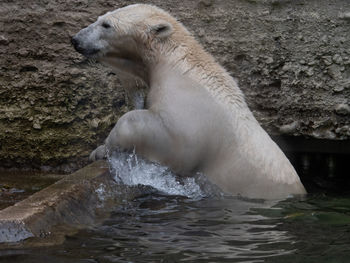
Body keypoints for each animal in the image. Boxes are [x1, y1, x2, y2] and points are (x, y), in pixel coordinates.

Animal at [72, 3, 306, 200]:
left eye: (106, 24)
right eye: (99, 18)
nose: (76, 39)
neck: (180, 67)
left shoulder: (188, 116)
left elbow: (167, 139)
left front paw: (99, 150)